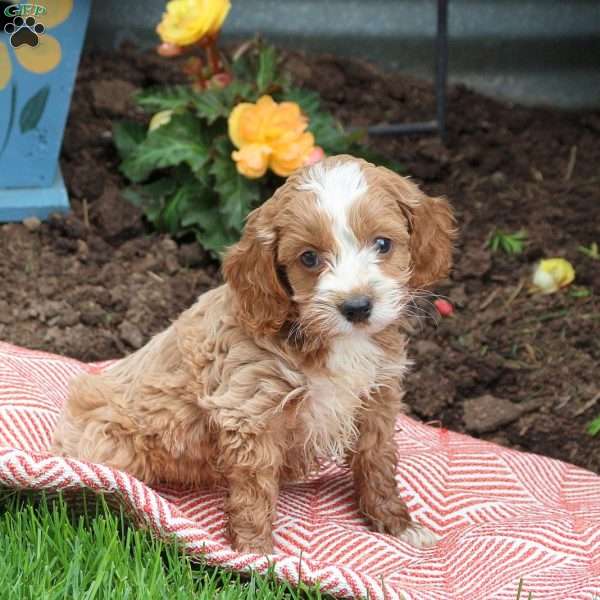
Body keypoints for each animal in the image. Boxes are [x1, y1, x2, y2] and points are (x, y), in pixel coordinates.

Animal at [52, 154, 454, 552]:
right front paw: (255, 553)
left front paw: (397, 524)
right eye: (309, 258)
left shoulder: (377, 398)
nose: (356, 307)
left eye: (383, 244)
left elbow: (377, 461)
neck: (334, 340)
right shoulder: (250, 410)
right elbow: (254, 489)